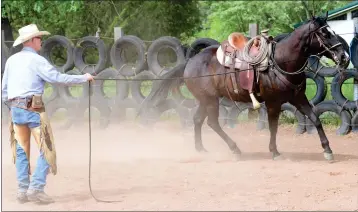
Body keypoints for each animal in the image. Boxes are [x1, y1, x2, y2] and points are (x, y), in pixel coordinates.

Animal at [140, 14, 350, 161]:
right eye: (324, 33)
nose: (344, 57)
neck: (279, 62)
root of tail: (190, 62)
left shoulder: (298, 97)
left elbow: (315, 118)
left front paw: (328, 150)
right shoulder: (273, 103)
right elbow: (273, 126)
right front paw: (274, 151)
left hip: (205, 100)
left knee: (198, 119)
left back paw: (201, 148)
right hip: (210, 100)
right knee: (212, 123)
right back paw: (235, 149)